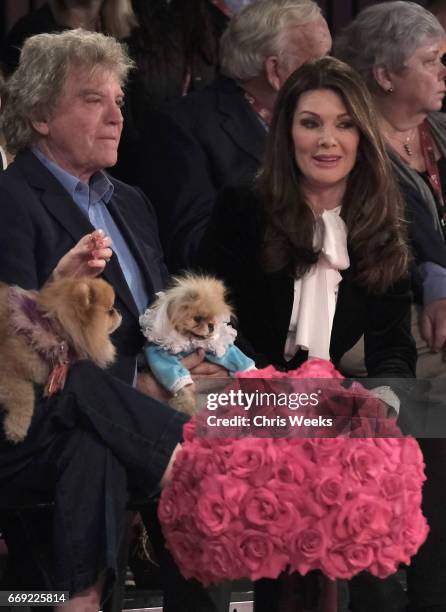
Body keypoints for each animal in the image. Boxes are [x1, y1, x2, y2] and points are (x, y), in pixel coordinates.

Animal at [0, 278, 122, 444]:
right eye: (109, 311)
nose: (119, 312)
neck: (53, 328)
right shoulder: (6, 368)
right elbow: (24, 393)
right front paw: (17, 427)